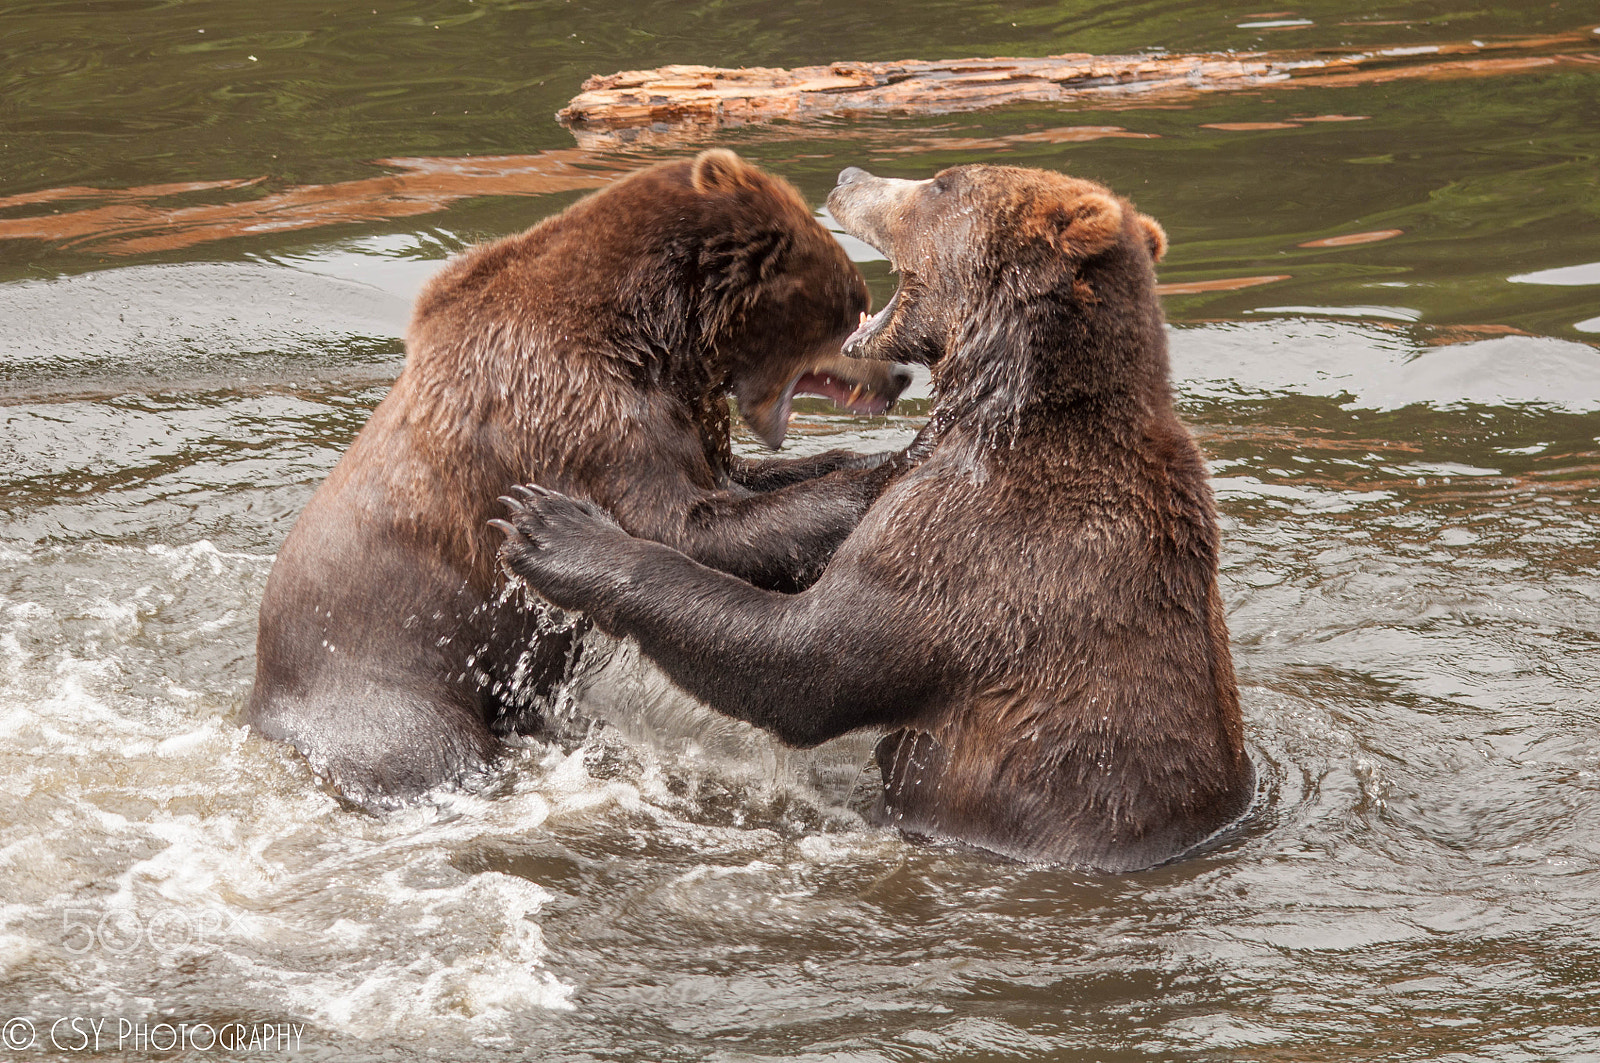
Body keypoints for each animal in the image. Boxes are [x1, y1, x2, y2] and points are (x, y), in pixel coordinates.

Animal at [248, 150, 910, 805]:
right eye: (853, 299)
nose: (902, 375)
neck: (659, 337)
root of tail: (264, 710)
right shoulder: (577, 407)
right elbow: (688, 526)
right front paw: (887, 471)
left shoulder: (681, 409)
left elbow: (741, 482)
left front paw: (862, 459)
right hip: (385, 689)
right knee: (431, 753)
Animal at [492, 163, 1256, 871]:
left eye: (943, 184)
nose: (848, 174)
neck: (1009, 405)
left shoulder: (974, 544)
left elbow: (802, 659)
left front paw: (551, 528)